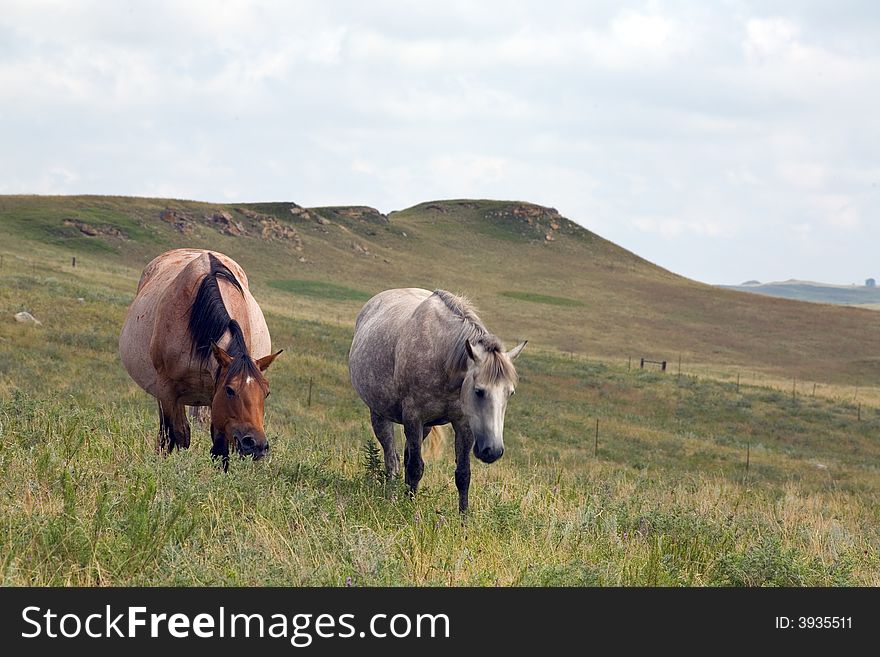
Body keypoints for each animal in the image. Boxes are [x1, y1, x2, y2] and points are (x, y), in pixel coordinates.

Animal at [119, 249, 282, 468]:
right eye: (230, 390)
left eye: (266, 393)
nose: (256, 445)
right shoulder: (168, 390)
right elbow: (174, 437)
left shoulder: (216, 402)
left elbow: (219, 450)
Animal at [348, 288, 524, 512]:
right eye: (478, 391)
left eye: (510, 393)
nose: (492, 451)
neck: (442, 358)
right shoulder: (413, 417)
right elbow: (415, 467)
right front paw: (409, 510)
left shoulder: (462, 423)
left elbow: (463, 474)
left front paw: (463, 516)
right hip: (380, 415)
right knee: (392, 460)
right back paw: (393, 498)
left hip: (426, 427)